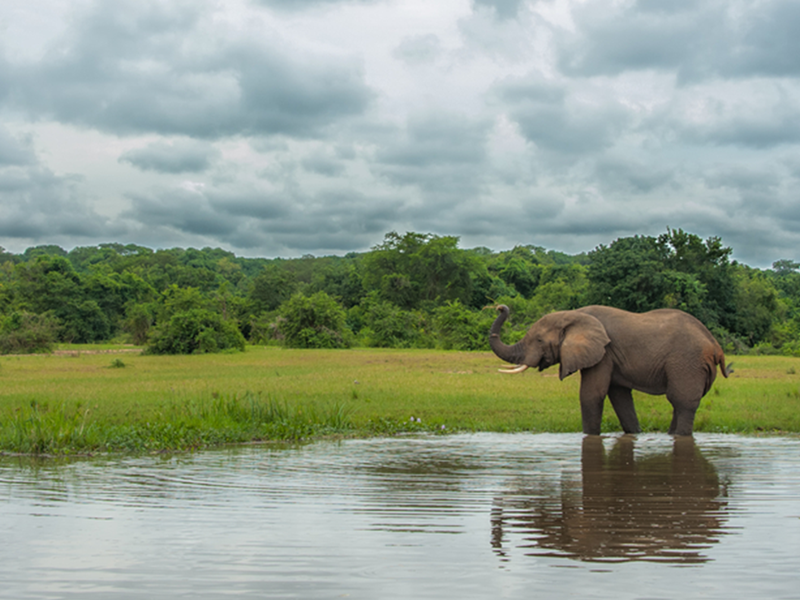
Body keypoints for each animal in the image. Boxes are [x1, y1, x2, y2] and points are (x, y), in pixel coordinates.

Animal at [488, 304, 732, 436]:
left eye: (539, 340)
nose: (500, 307)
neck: (575, 314)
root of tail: (716, 345)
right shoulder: (612, 357)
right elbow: (620, 397)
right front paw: (636, 434)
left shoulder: (603, 353)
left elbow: (591, 395)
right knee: (678, 404)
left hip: (687, 363)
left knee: (682, 402)